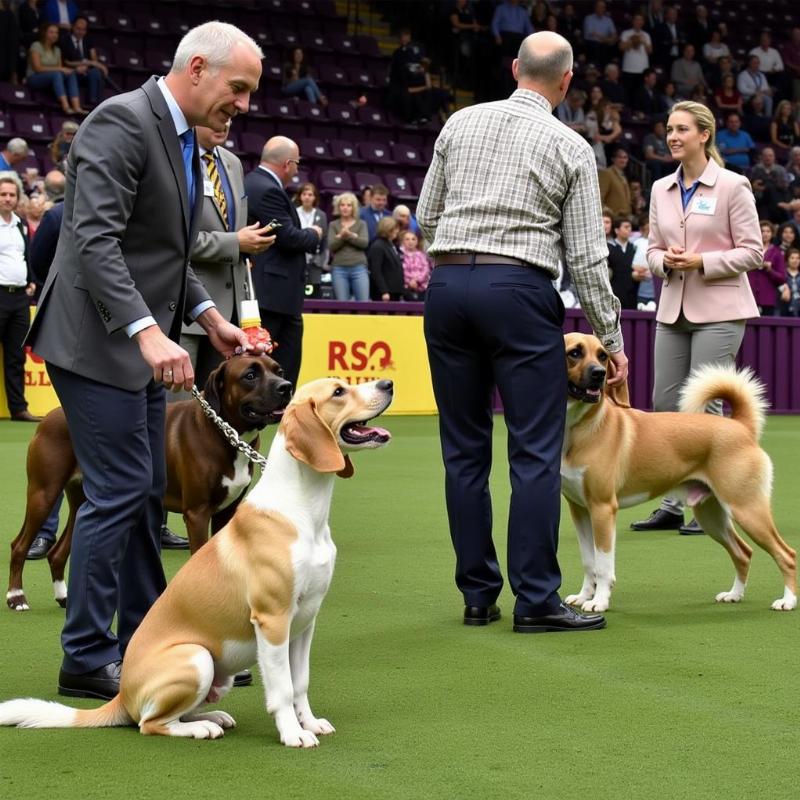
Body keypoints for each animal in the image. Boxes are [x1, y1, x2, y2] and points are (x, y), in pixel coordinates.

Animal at [6, 354, 294, 608]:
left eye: (278, 370)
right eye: (250, 376)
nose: (286, 387)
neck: (226, 433)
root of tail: (49, 418)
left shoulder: (227, 512)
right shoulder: (197, 513)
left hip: (84, 502)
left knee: (58, 553)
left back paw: (63, 596)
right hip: (44, 493)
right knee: (19, 545)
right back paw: (16, 596)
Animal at [560, 332, 796, 612]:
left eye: (603, 355)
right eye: (575, 353)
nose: (599, 373)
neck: (582, 428)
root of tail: (741, 427)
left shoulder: (603, 509)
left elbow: (603, 564)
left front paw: (599, 602)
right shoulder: (580, 510)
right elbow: (589, 561)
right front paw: (583, 596)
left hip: (747, 509)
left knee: (786, 554)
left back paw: (787, 601)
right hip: (712, 515)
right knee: (743, 552)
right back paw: (734, 595)